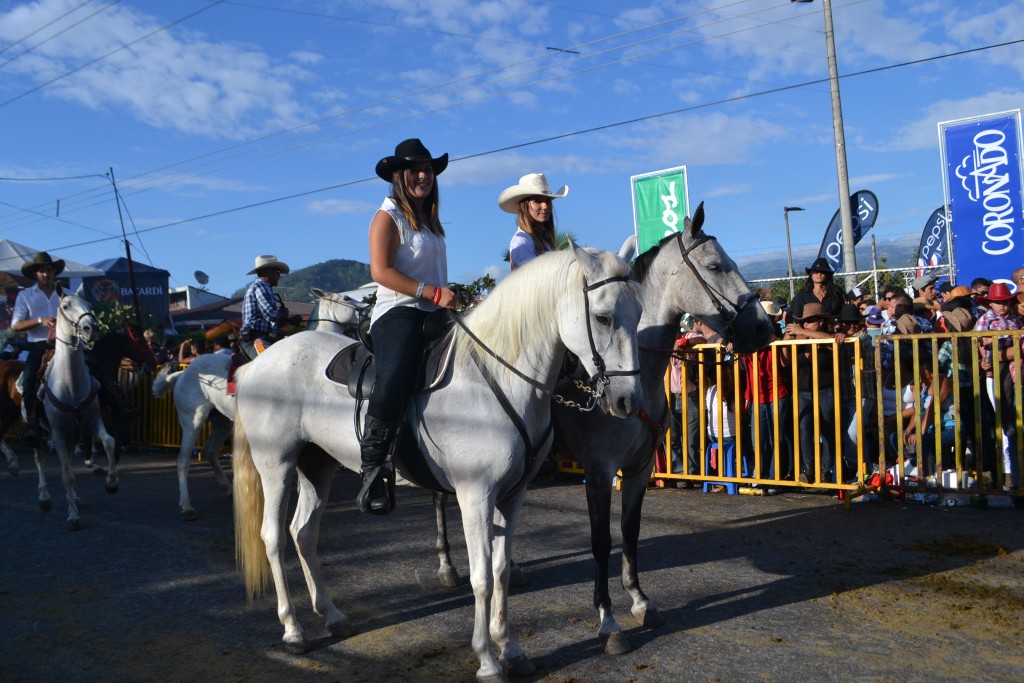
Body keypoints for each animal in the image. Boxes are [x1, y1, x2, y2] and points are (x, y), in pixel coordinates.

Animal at [34, 296, 118, 532]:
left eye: (89, 304)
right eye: (65, 306)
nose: (91, 328)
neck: (70, 384)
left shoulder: (93, 420)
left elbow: (109, 442)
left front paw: (111, 483)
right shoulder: (57, 433)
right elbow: (66, 474)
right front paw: (73, 517)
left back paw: (76, 498)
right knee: (39, 457)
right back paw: (44, 497)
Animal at [152, 286, 372, 518]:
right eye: (346, 298)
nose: (368, 309)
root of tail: (183, 373)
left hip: (221, 421)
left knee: (211, 451)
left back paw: (228, 489)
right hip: (192, 420)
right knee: (183, 460)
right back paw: (186, 505)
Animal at [235, 244, 643, 679]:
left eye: (638, 313)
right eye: (603, 316)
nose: (627, 402)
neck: (496, 378)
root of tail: (256, 365)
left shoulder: (511, 496)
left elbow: (501, 571)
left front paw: (510, 649)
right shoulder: (474, 496)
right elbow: (481, 578)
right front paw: (487, 661)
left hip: (317, 466)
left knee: (303, 533)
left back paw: (331, 615)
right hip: (276, 464)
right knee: (274, 538)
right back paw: (293, 631)